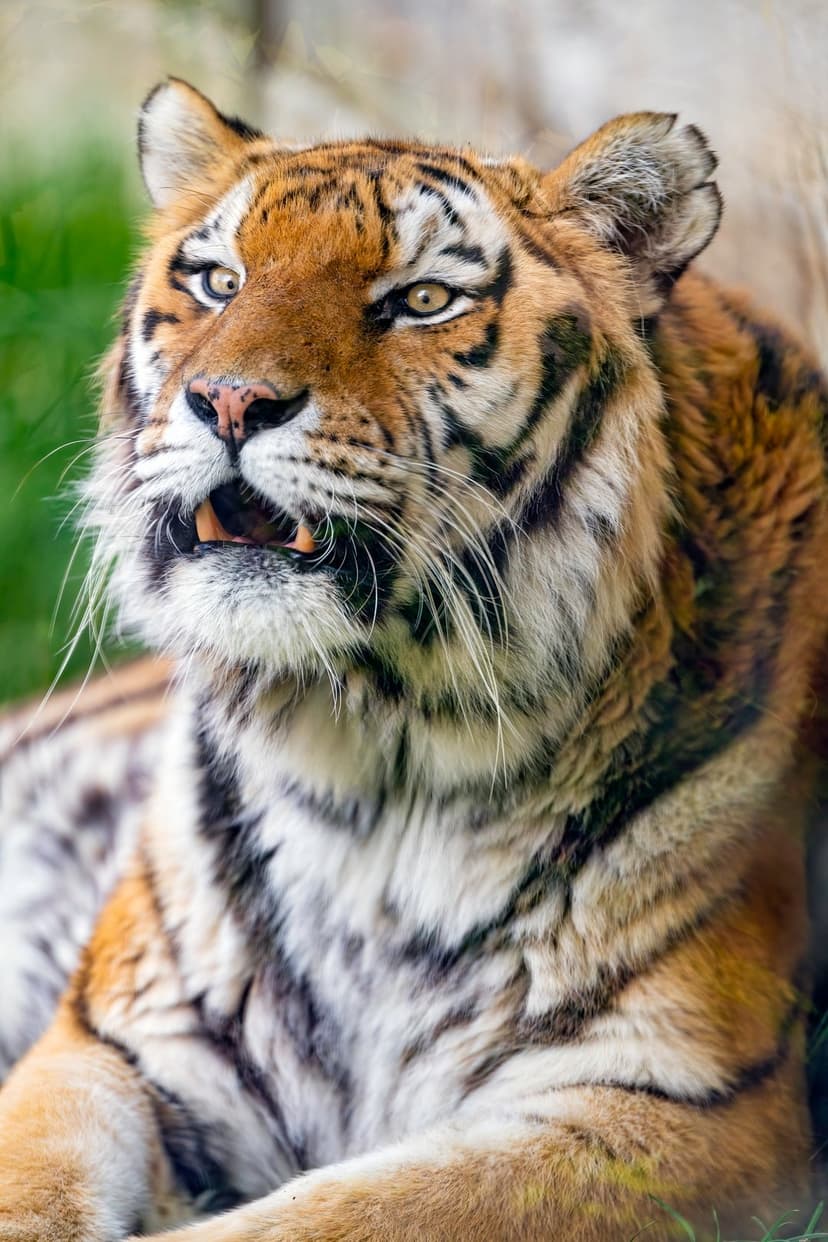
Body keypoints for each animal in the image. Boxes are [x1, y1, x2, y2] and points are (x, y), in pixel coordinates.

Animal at [0, 75, 827, 1241]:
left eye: (423, 300)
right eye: (217, 281)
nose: (230, 402)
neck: (372, 754)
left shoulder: (679, 1100)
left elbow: (333, 1215)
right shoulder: (114, 1041)